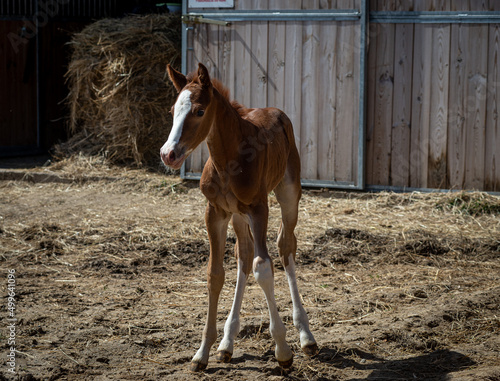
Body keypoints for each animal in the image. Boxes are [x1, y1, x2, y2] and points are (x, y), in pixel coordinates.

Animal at [160, 63, 316, 370]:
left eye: (199, 111)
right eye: (172, 111)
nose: (168, 154)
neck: (227, 162)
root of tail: (275, 111)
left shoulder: (259, 208)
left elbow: (263, 268)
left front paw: (283, 350)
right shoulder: (215, 213)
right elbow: (215, 273)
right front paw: (202, 353)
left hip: (288, 193)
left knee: (285, 247)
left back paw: (306, 336)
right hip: (238, 215)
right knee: (243, 255)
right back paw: (227, 343)